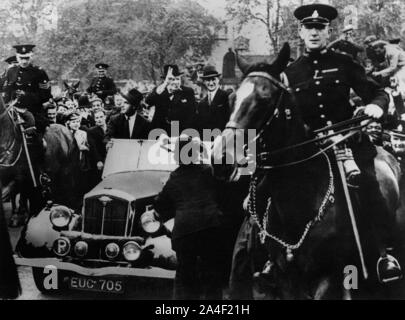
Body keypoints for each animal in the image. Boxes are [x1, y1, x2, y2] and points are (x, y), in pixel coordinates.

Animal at [210, 43, 402, 298]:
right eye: (231, 99)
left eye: (265, 98)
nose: (220, 157)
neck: (301, 195)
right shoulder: (287, 277)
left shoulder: (331, 275)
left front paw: (371, 109)